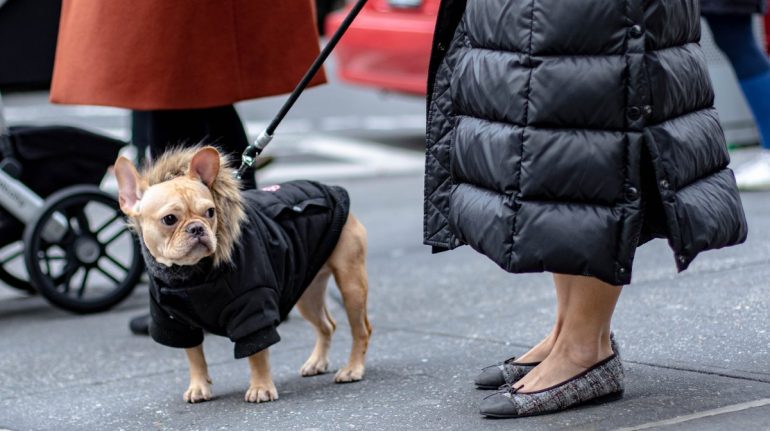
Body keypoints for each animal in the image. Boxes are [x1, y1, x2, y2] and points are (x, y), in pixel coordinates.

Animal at [113, 147, 372, 404]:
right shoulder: (177, 323)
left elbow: (257, 352)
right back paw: (317, 363)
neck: (189, 276)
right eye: (169, 219)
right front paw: (198, 387)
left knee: (361, 329)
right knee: (327, 325)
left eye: (210, 212)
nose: (197, 228)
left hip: (351, 284)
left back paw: (352, 369)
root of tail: (330, 188)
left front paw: (260, 388)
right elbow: (194, 356)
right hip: (307, 294)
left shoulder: (253, 310)